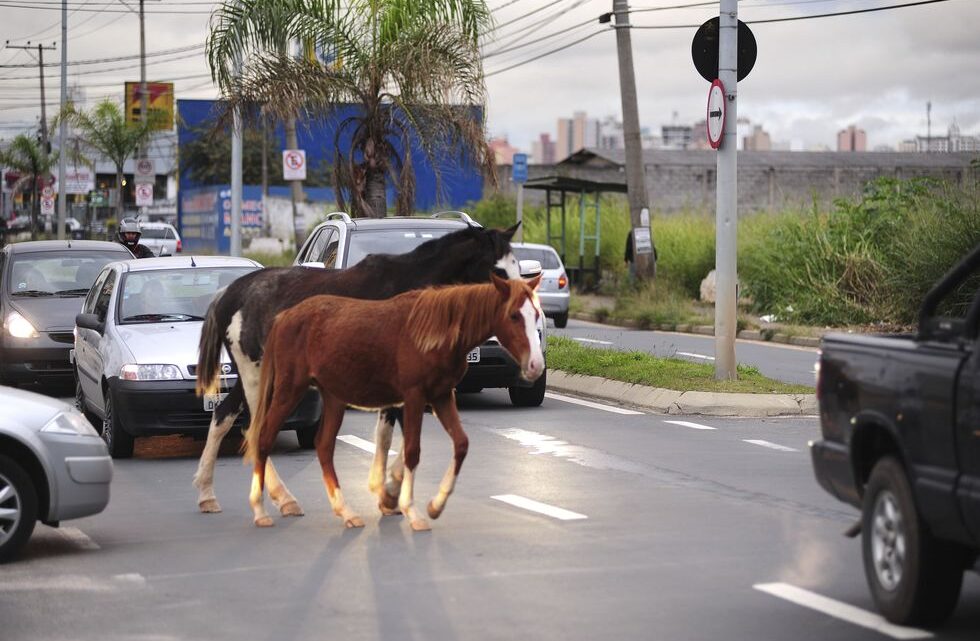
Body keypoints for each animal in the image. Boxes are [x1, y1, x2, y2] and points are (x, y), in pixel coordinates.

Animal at [240, 276, 540, 528]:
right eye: (514, 315)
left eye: (536, 314)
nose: (536, 365)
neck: (435, 331)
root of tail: (285, 317)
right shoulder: (414, 397)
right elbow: (412, 451)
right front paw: (412, 510)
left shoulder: (442, 396)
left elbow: (461, 443)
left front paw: (435, 505)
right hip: (289, 391)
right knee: (264, 439)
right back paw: (260, 509)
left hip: (333, 397)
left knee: (323, 447)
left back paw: (345, 511)